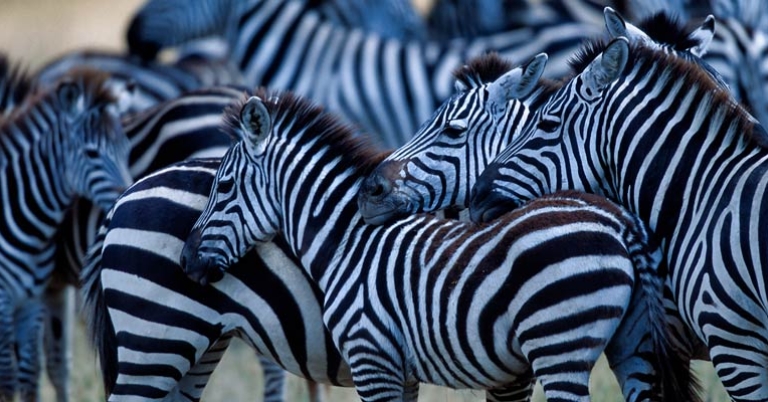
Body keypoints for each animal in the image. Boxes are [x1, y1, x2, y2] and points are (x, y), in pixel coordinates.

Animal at [0, 67, 132, 402]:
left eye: (126, 150)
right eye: (91, 153)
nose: (127, 194)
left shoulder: (33, 299)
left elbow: (29, 374)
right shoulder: (4, 299)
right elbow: (9, 377)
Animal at [179, 90, 693, 401]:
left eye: (224, 186)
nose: (185, 260)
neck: (345, 243)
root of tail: (617, 218)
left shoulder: (371, 358)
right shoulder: (401, 371)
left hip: (559, 346)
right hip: (635, 345)